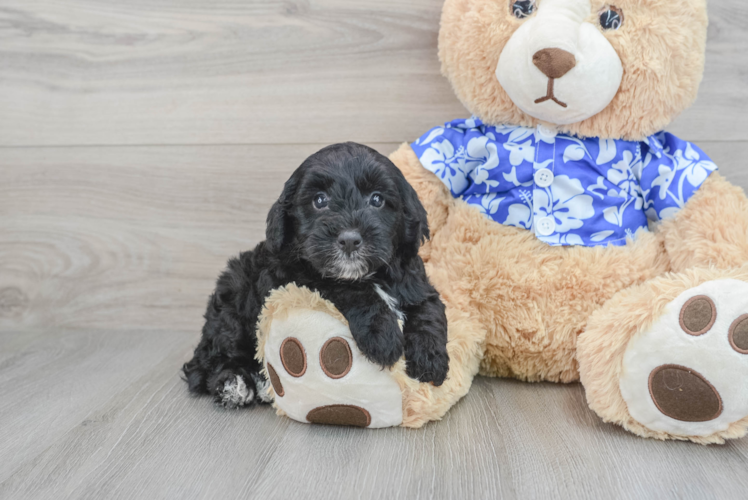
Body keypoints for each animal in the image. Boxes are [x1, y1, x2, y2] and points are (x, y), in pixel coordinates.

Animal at [183, 141, 448, 406]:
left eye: (377, 199)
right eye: (319, 200)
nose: (349, 240)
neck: (368, 274)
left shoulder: (415, 283)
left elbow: (428, 311)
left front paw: (430, 358)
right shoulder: (295, 279)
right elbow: (348, 289)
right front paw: (383, 337)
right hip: (233, 305)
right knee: (213, 360)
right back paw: (235, 383)